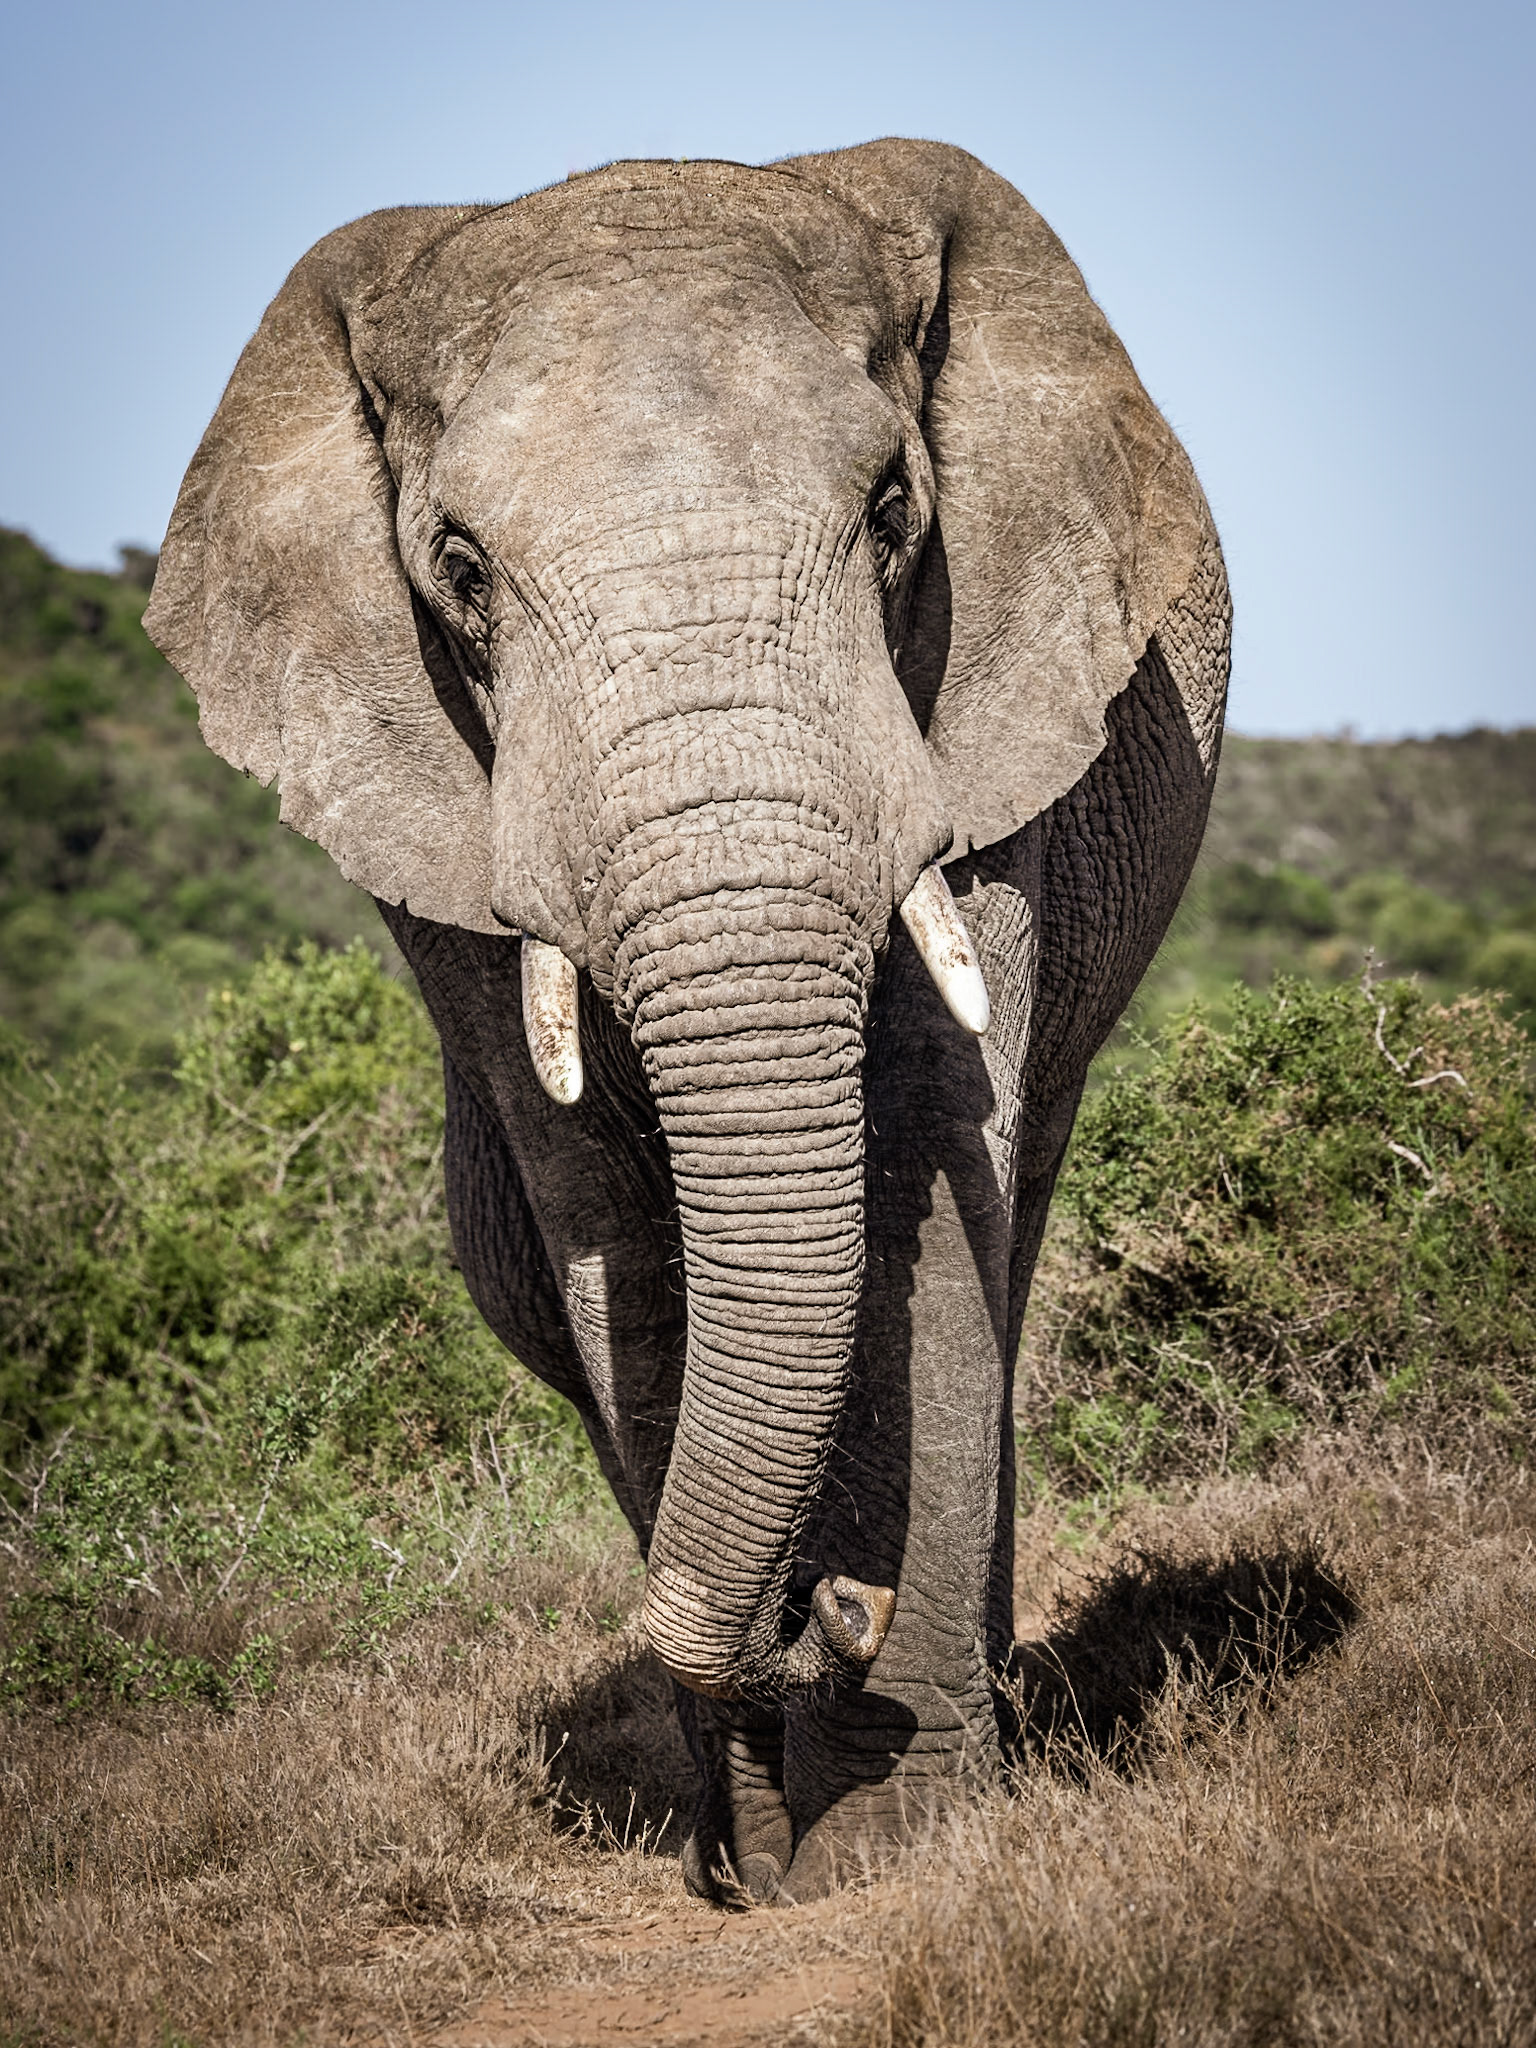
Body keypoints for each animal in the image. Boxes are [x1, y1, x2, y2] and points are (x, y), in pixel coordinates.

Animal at [145, 139, 1229, 1903]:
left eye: (892, 513)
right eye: (458, 571)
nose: (829, 1603)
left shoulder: (979, 718)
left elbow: (927, 1168)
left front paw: (895, 1850)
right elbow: (614, 1222)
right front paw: (769, 1841)